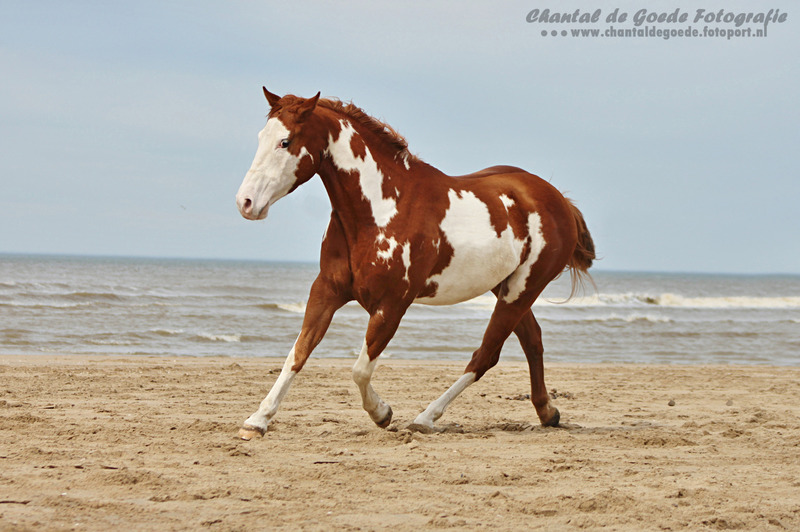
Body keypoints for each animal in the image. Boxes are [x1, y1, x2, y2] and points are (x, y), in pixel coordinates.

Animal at [234, 87, 595, 440]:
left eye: (286, 141)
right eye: (261, 137)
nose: (245, 203)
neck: (381, 210)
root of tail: (559, 200)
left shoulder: (392, 305)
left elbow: (360, 369)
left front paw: (382, 414)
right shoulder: (327, 291)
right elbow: (298, 353)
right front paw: (256, 421)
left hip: (522, 290)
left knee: (486, 354)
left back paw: (426, 417)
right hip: (505, 287)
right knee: (532, 340)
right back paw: (547, 412)